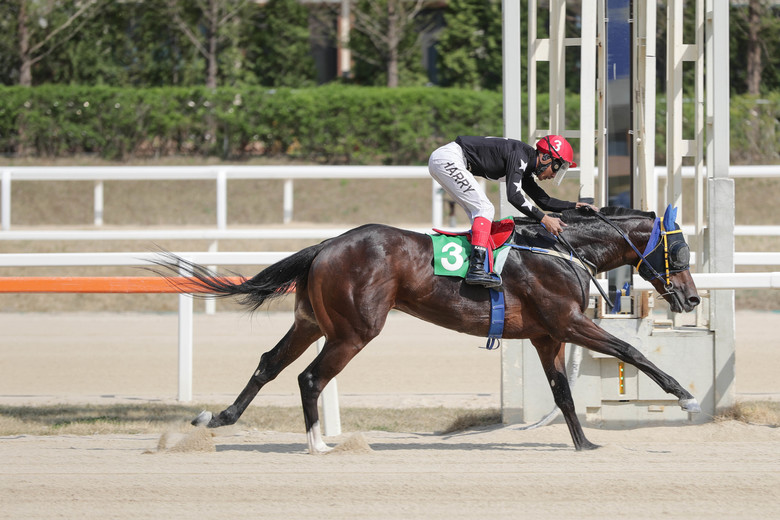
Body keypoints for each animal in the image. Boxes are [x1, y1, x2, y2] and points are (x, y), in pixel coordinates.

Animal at [152, 206, 701, 453]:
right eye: (680, 250)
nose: (692, 298)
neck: (563, 252)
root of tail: (326, 245)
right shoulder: (569, 322)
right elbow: (632, 351)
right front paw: (686, 398)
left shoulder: (547, 336)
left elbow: (563, 393)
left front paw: (585, 445)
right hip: (354, 331)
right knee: (310, 378)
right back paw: (319, 444)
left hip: (311, 322)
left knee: (269, 364)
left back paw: (217, 418)